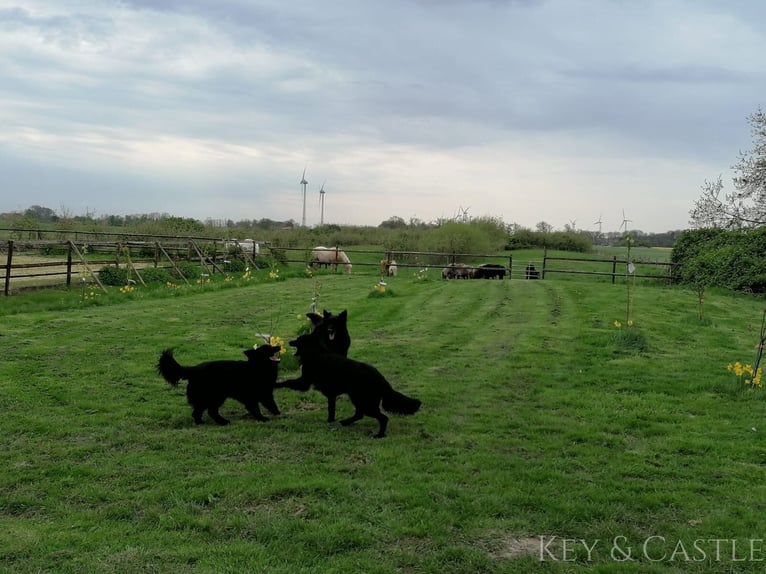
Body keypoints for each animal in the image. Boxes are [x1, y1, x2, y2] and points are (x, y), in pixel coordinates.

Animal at [276, 330, 420, 438]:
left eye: (298, 339)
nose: (289, 342)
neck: (314, 351)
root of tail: (382, 379)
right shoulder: (331, 395)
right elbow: (331, 409)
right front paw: (330, 421)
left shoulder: (304, 382)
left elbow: (288, 382)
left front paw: (276, 384)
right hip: (358, 399)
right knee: (360, 414)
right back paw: (345, 422)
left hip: (364, 401)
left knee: (382, 418)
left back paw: (379, 435)